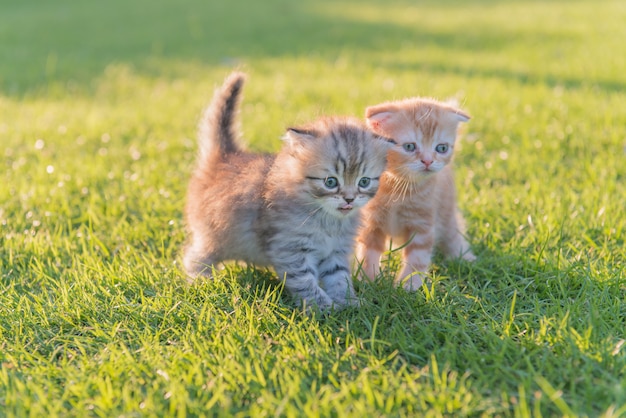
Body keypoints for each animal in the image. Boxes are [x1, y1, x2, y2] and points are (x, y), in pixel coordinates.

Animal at [183, 72, 392, 308]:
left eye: (363, 182)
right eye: (330, 182)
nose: (349, 199)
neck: (328, 220)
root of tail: (225, 155)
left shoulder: (336, 251)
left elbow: (339, 277)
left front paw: (349, 303)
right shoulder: (290, 250)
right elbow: (305, 282)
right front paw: (323, 308)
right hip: (213, 238)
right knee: (193, 256)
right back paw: (201, 280)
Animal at [354, 97, 476, 290]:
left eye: (441, 148)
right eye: (410, 146)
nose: (427, 161)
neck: (399, 189)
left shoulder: (423, 225)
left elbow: (417, 258)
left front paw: (409, 285)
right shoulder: (371, 223)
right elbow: (368, 253)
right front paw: (367, 281)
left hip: (446, 212)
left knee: (453, 234)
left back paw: (464, 258)